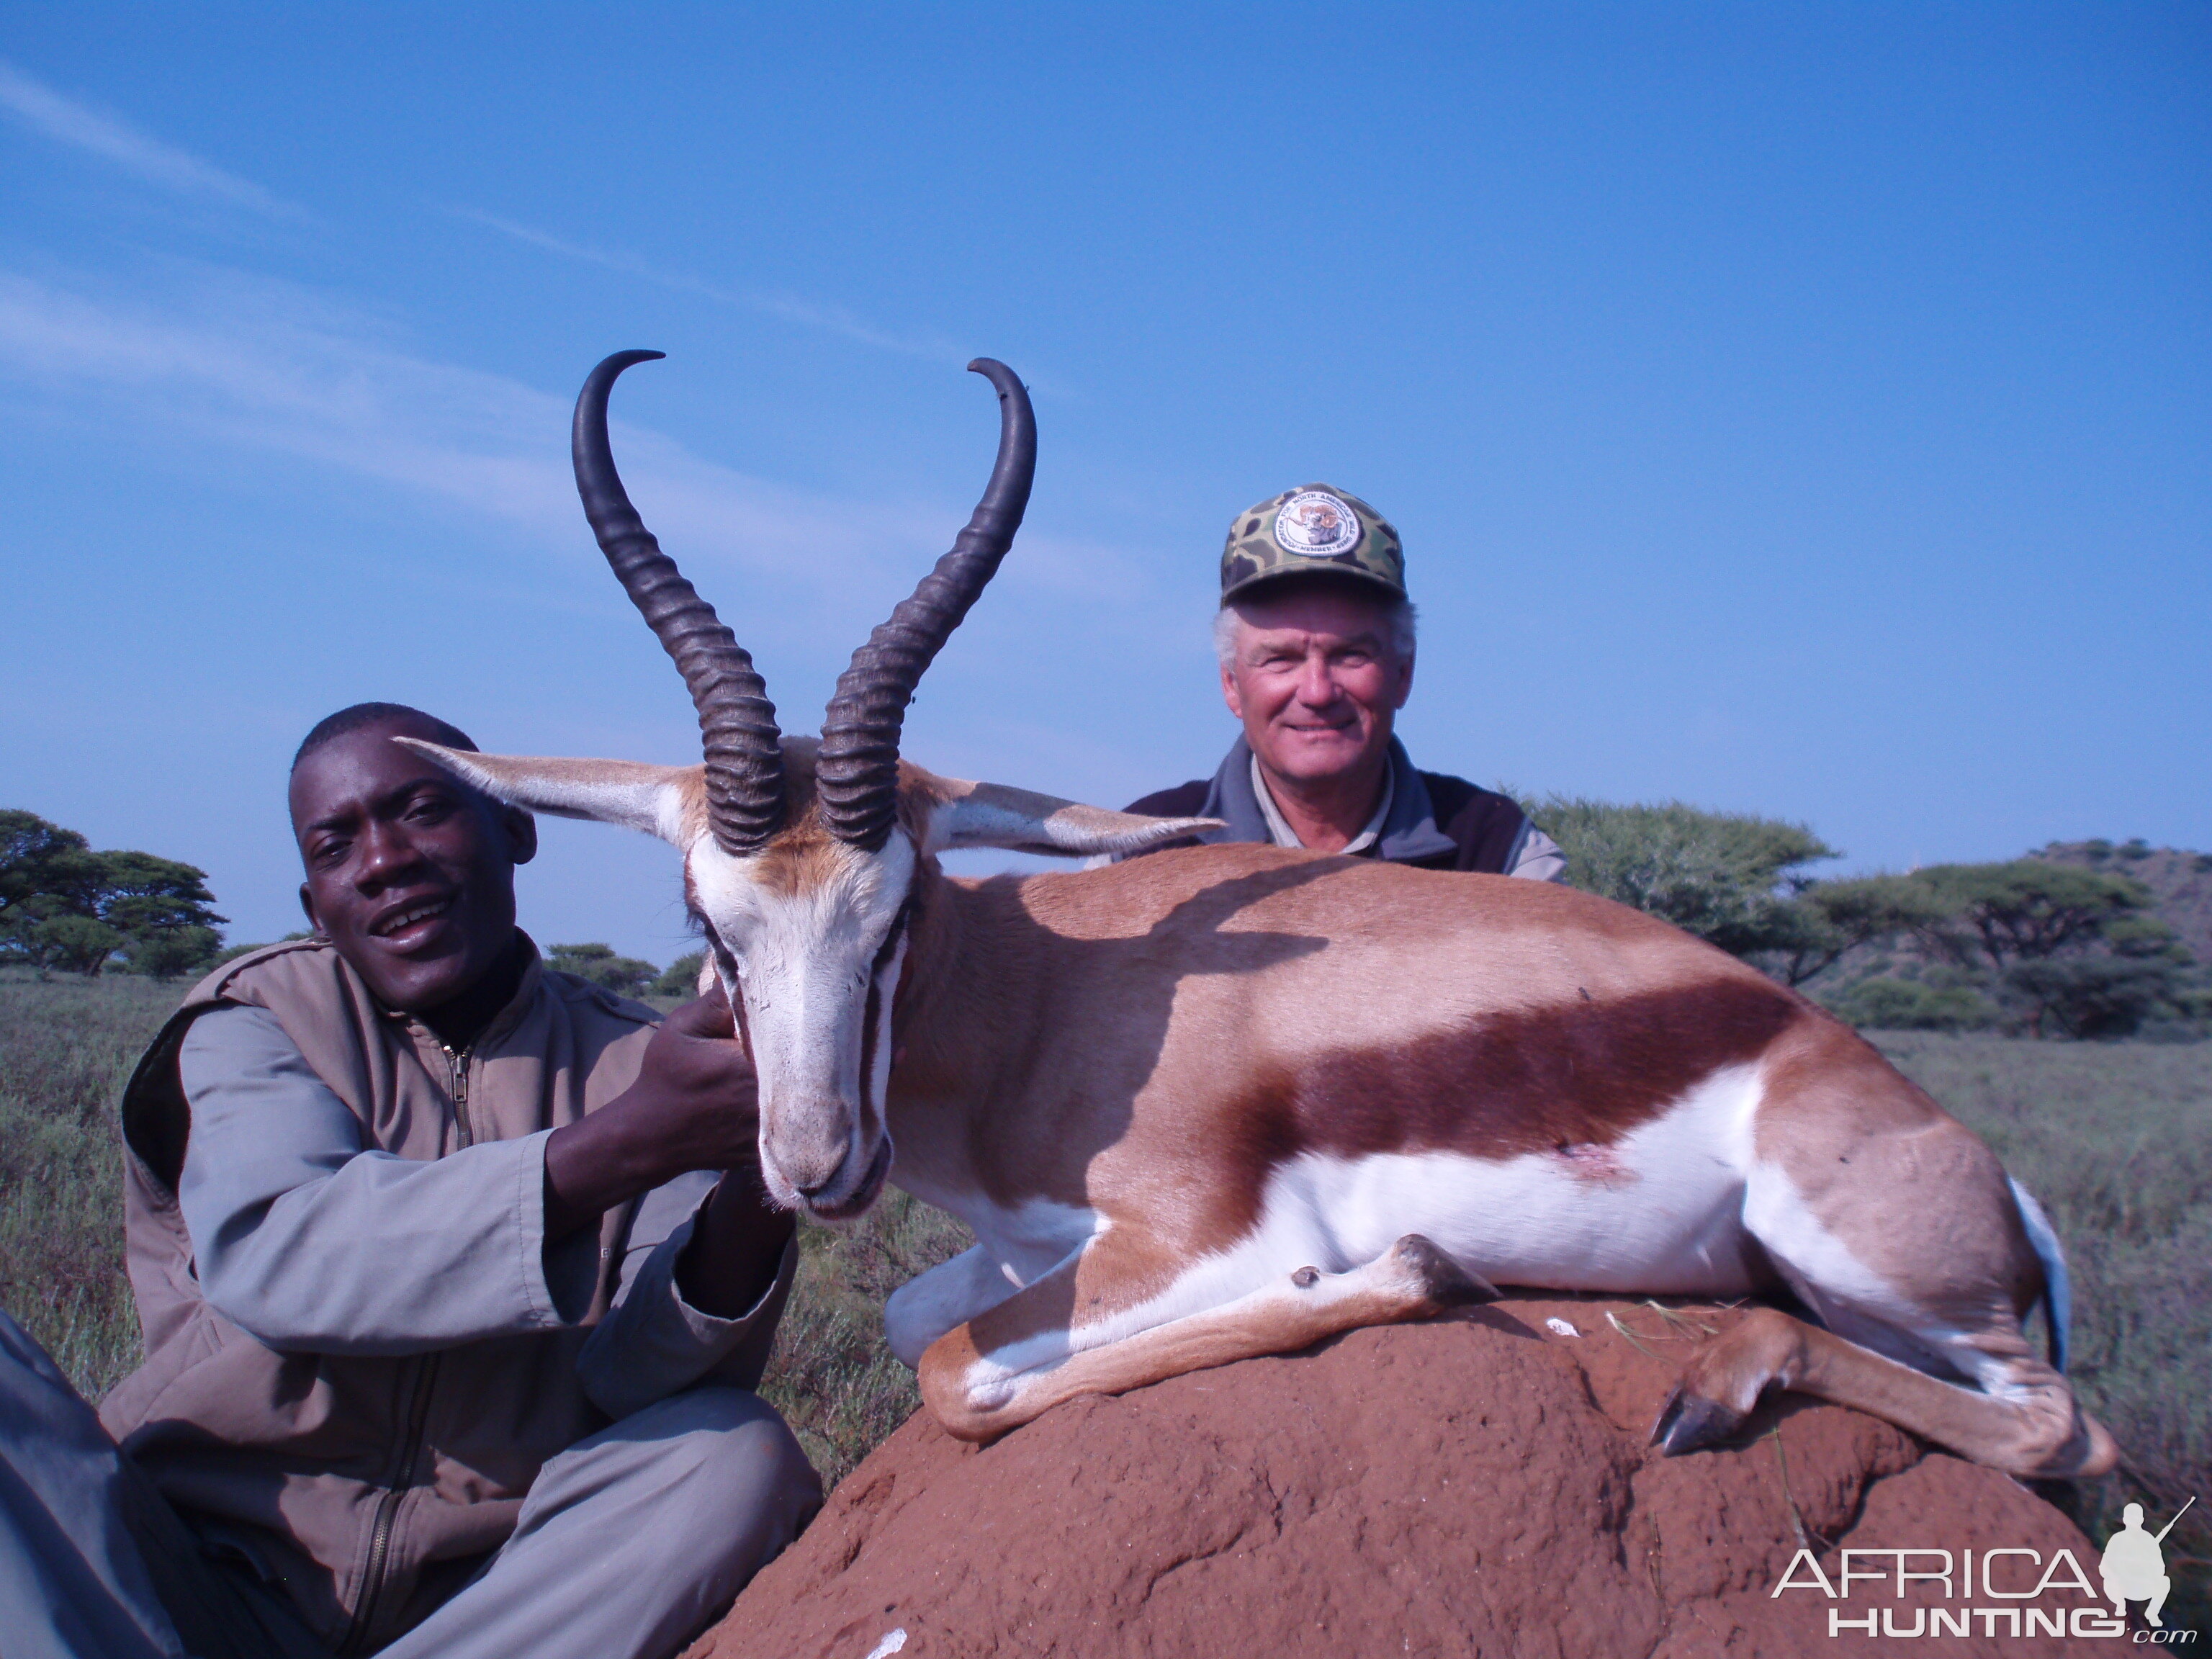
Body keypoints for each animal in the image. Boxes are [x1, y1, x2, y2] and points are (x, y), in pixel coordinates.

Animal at [407, 351, 2114, 1478]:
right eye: (710, 922)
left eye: (898, 913)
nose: (816, 1167)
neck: (1046, 1014)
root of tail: (1985, 1170)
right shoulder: (1022, 1241)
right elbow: (913, 1320)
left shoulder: (1198, 1235)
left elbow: (959, 1372)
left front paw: (1396, 1275)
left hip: (1849, 1250)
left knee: (2060, 1430)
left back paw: (1711, 1388)